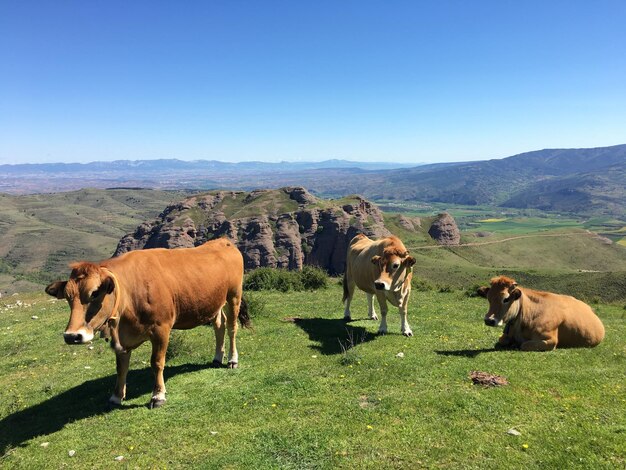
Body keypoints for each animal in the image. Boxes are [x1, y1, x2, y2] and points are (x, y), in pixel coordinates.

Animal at [44, 239, 249, 408]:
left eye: (94, 293)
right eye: (68, 297)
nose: (72, 336)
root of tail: (223, 241)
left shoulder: (161, 328)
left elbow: (156, 362)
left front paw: (158, 396)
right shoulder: (122, 338)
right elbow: (121, 367)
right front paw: (116, 397)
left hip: (234, 295)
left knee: (231, 328)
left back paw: (232, 360)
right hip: (215, 302)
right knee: (219, 326)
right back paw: (217, 357)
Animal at [476, 278, 604, 350]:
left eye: (506, 299)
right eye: (488, 298)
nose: (489, 320)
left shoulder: (551, 340)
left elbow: (524, 345)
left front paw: (516, 345)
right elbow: (502, 340)